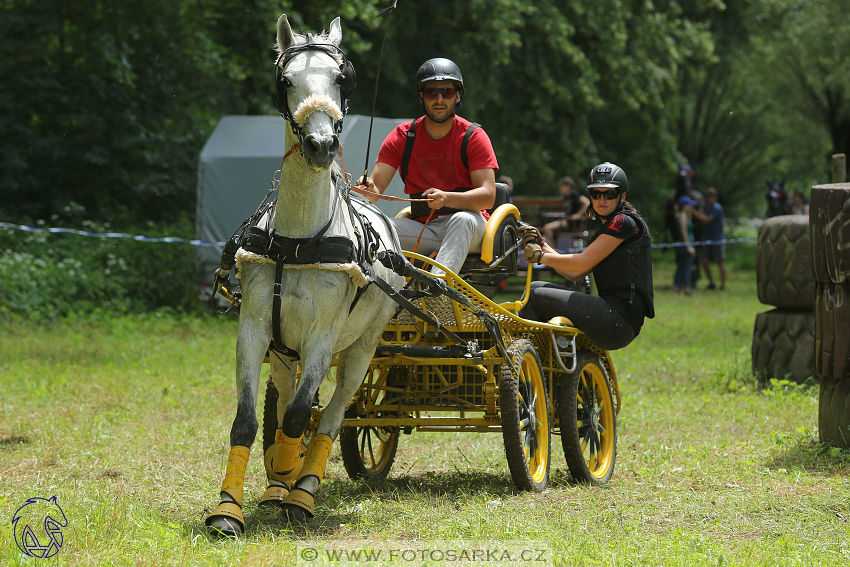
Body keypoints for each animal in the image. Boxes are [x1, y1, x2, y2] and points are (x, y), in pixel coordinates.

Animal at [206, 14, 404, 536]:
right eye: (287, 80)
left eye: (341, 78)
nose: (320, 145)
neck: (297, 240)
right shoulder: (255, 331)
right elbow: (251, 421)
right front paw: (229, 507)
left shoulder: (321, 337)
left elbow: (300, 417)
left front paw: (293, 488)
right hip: (283, 349)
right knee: (288, 401)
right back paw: (279, 486)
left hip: (363, 347)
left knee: (333, 416)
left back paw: (302, 490)